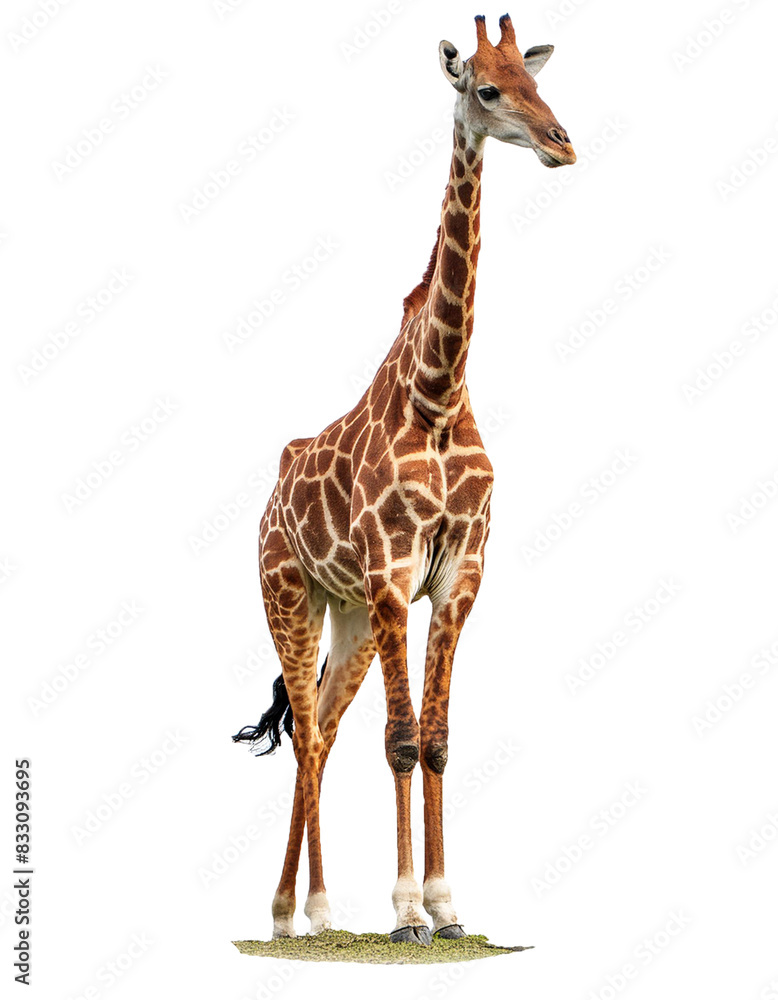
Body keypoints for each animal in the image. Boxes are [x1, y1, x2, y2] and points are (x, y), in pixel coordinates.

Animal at [233, 13, 575, 944]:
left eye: (536, 82)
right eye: (487, 89)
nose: (562, 144)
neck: (438, 392)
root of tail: (268, 503)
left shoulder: (458, 573)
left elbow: (438, 737)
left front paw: (450, 907)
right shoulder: (392, 573)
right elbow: (400, 739)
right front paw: (407, 911)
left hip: (348, 617)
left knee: (319, 733)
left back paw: (306, 912)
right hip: (291, 596)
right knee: (311, 731)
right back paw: (294, 912)